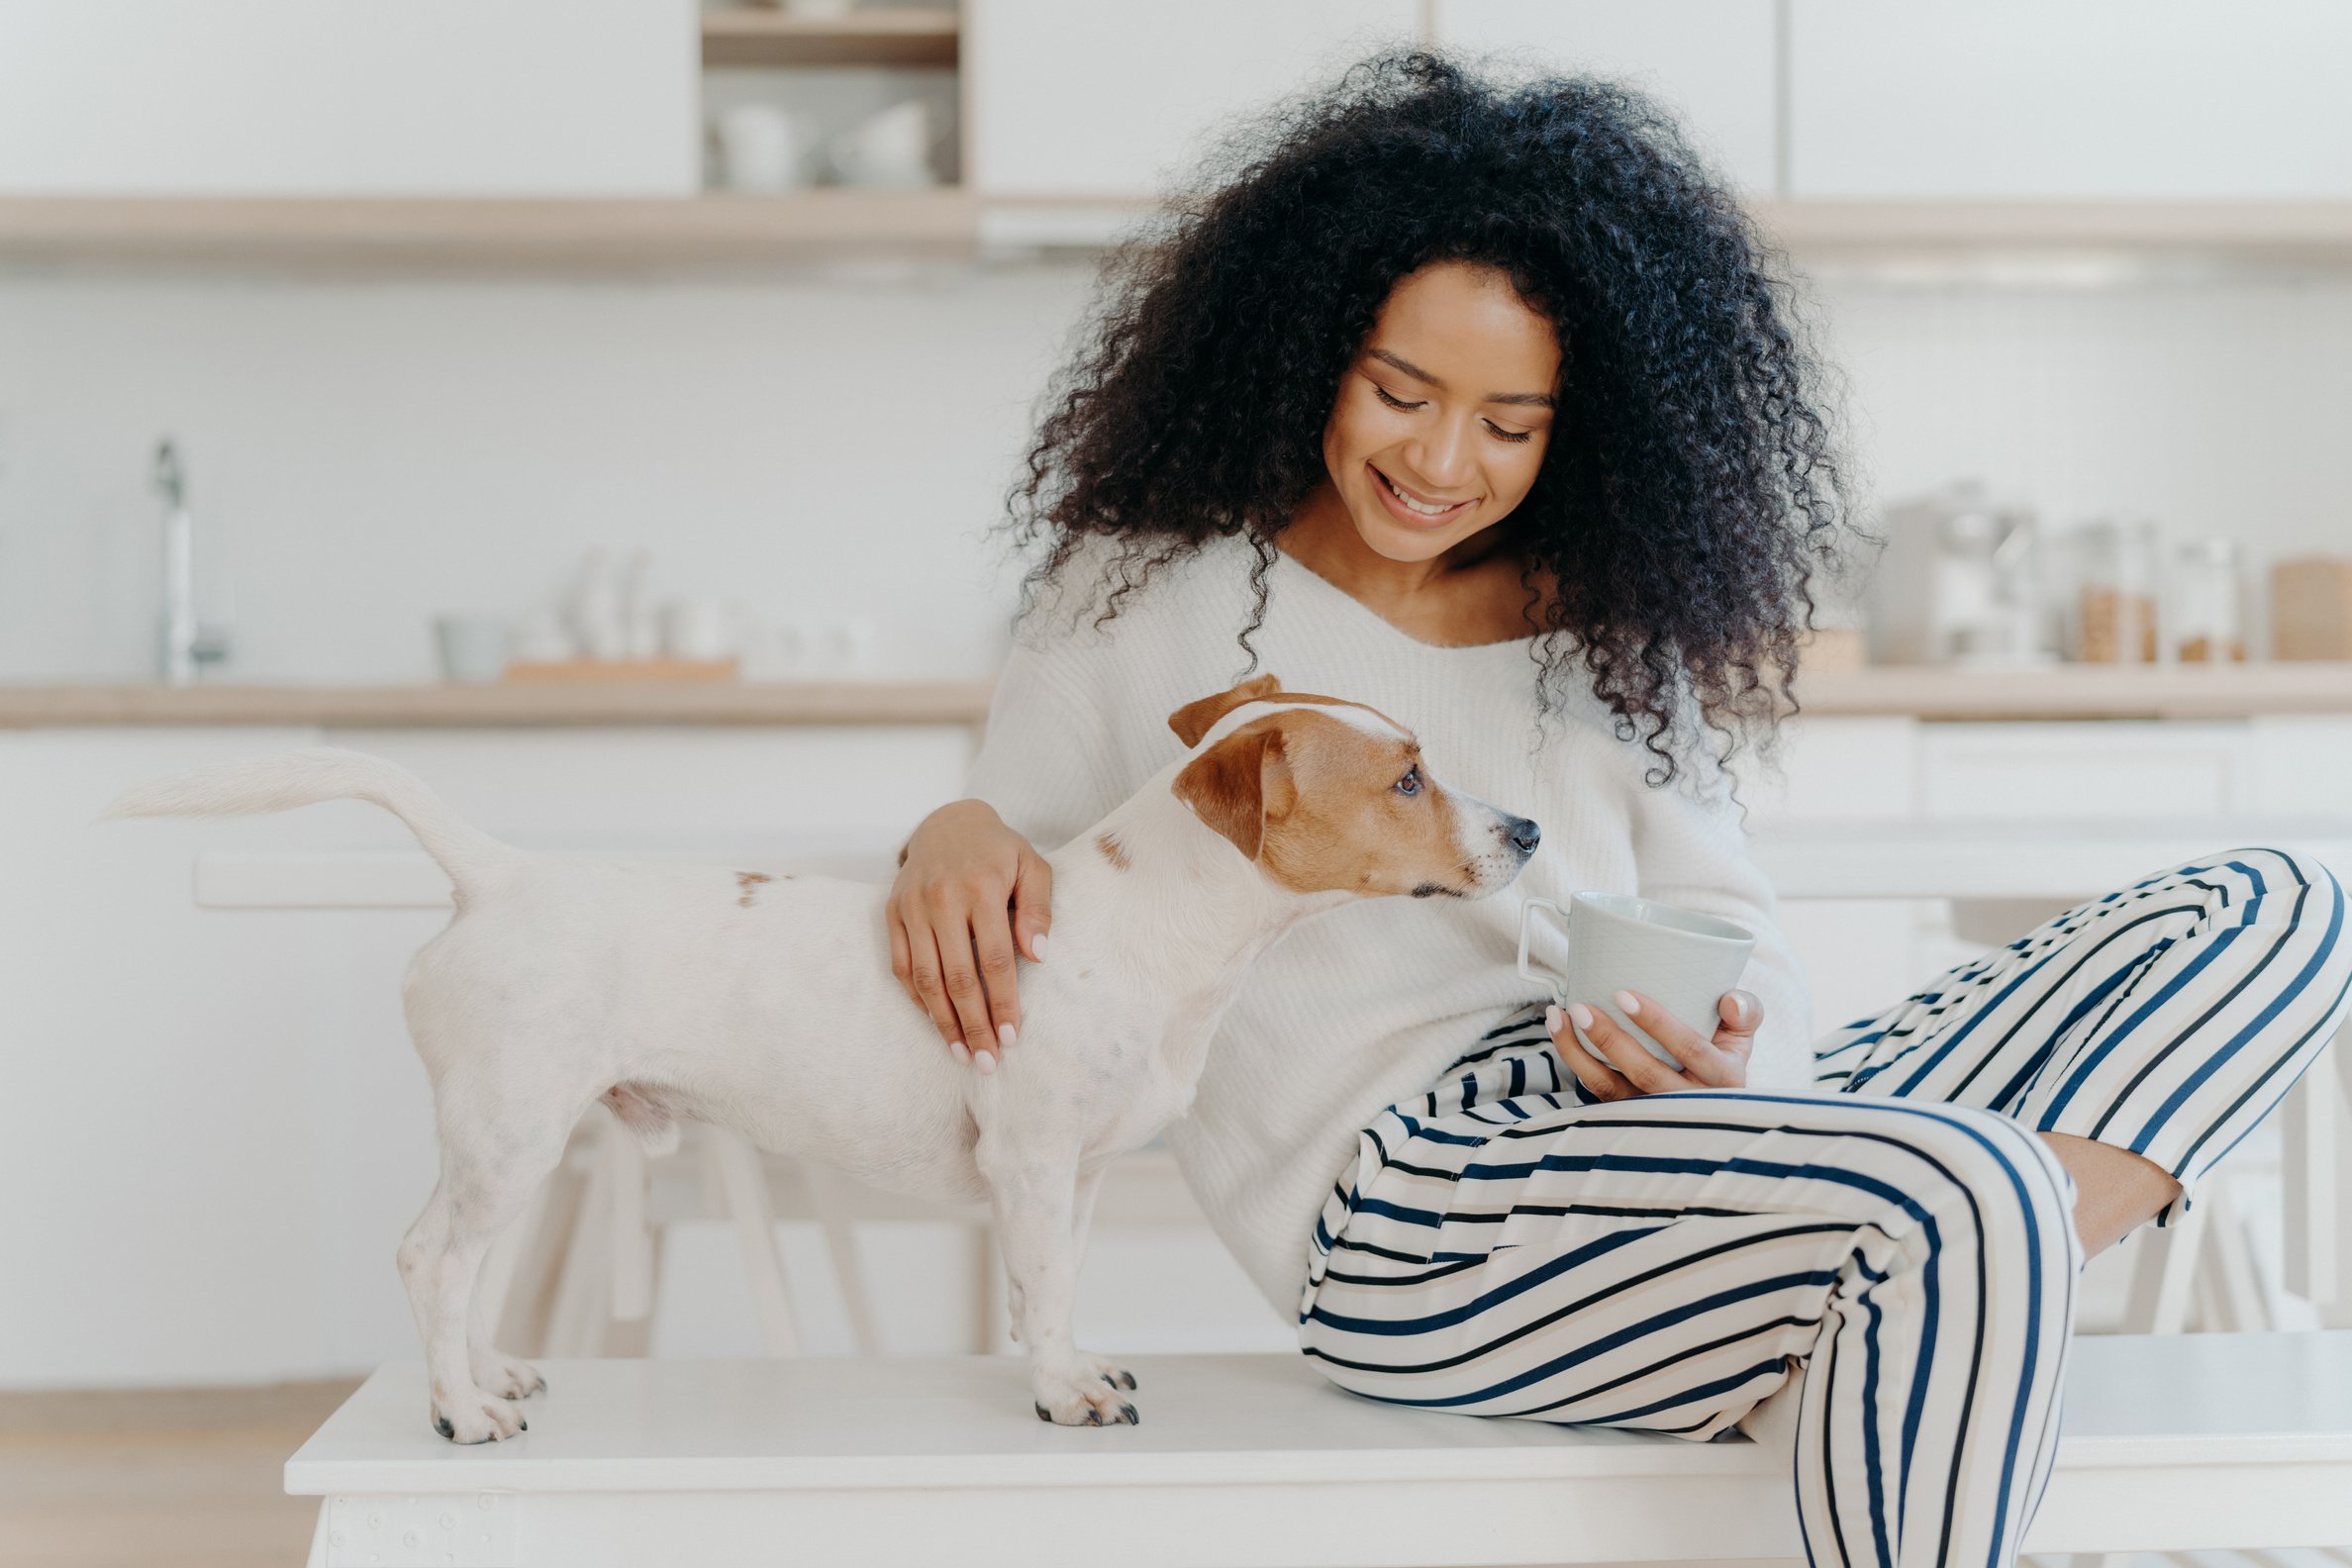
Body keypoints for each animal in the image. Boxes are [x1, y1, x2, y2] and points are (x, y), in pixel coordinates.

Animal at [110, 676, 1542, 1438]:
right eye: (1408, 778)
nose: (1527, 828)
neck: (1158, 934)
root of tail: (498, 874)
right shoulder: (1030, 1164)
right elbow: (1044, 1295)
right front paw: (1061, 1394)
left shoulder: (1073, 1177)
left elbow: (1058, 1288)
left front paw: (1074, 1365)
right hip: (508, 1135)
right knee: (430, 1260)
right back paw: (462, 1411)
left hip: (512, 1141)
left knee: (460, 1269)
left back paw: (489, 1370)